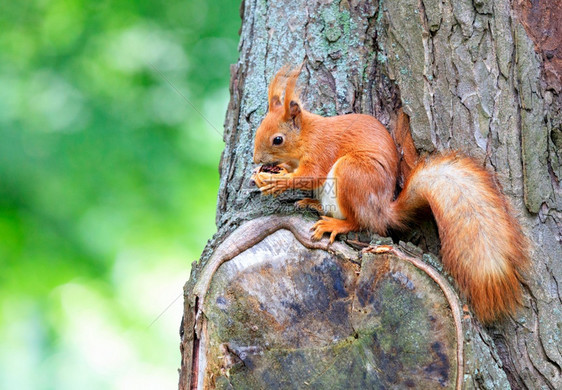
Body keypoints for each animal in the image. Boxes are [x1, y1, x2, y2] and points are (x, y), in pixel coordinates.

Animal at [252, 66, 528, 322]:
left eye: (278, 139)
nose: (255, 159)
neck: (306, 135)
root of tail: (383, 210)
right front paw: (273, 172)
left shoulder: (321, 150)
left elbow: (311, 174)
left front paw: (275, 181)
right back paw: (313, 203)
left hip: (353, 174)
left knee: (360, 221)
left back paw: (334, 224)